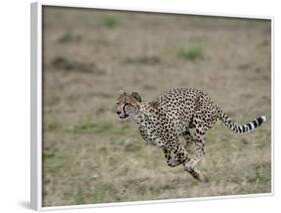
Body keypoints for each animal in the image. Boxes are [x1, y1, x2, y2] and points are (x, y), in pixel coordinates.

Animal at [114, 88, 264, 181]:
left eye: (126, 104)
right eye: (117, 102)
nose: (117, 112)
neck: (140, 118)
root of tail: (211, 100)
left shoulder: (173, 142)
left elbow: (184, 159)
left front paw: (197, 174)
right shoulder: (165, 146)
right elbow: (170, 162)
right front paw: (182, 163)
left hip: (199, 123)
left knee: (201, 150)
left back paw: (192, 161)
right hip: (184, 127)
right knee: (190, 141)